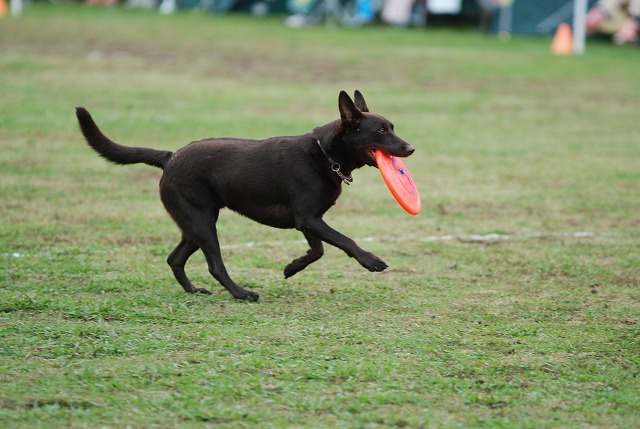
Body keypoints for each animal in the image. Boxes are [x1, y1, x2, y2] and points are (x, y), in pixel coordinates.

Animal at [77, 89, 416, 300]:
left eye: (392, 127)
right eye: (381, 131)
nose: (411, 148)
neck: (325, 155)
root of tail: (170, 157)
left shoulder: (308, 220)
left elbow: (317, 250)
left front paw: (292, 267)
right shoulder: (308, 218)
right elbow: (344, 240)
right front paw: (370, 260)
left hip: (193, 224)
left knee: (175, 259)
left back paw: (194, 291)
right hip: (202, 222)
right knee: (214, 265)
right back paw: (241, 293)